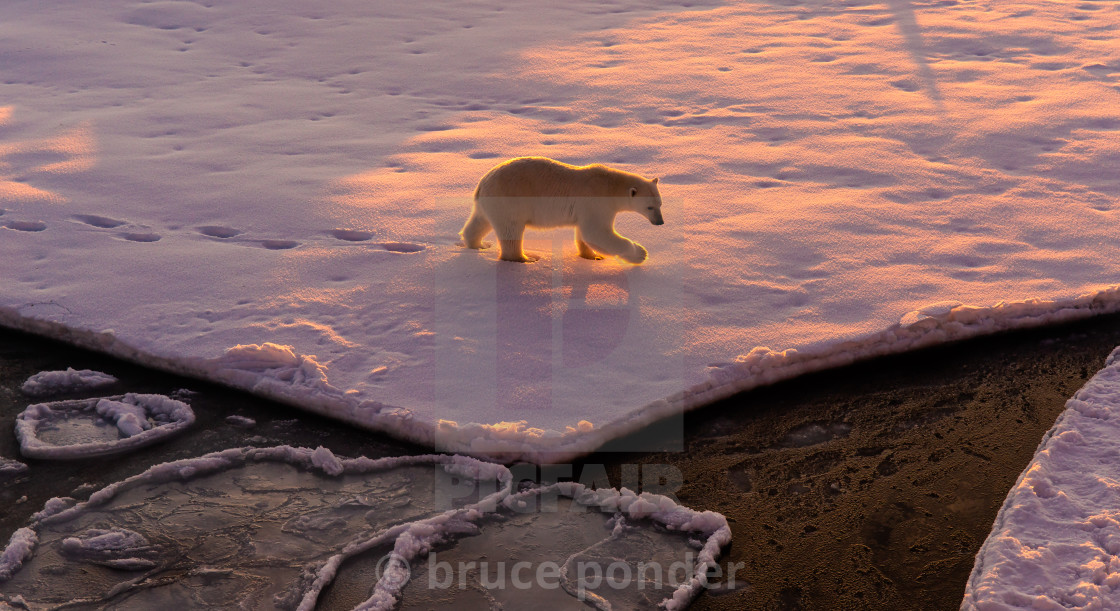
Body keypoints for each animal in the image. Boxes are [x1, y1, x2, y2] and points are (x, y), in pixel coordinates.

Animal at [459, 154, 658, 261]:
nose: (660, 222)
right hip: (509, 201)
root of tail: (482, 184)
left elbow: (584, 234)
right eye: (650, 207)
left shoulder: (586, 210)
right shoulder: (597, 203)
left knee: (480, 222)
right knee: (511, 231)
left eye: (659, 204)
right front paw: (641, 253)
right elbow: (597, 233)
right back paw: (525, 258)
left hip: (489, 204)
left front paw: (591, 256)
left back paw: (477, 245)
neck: (610, 185)